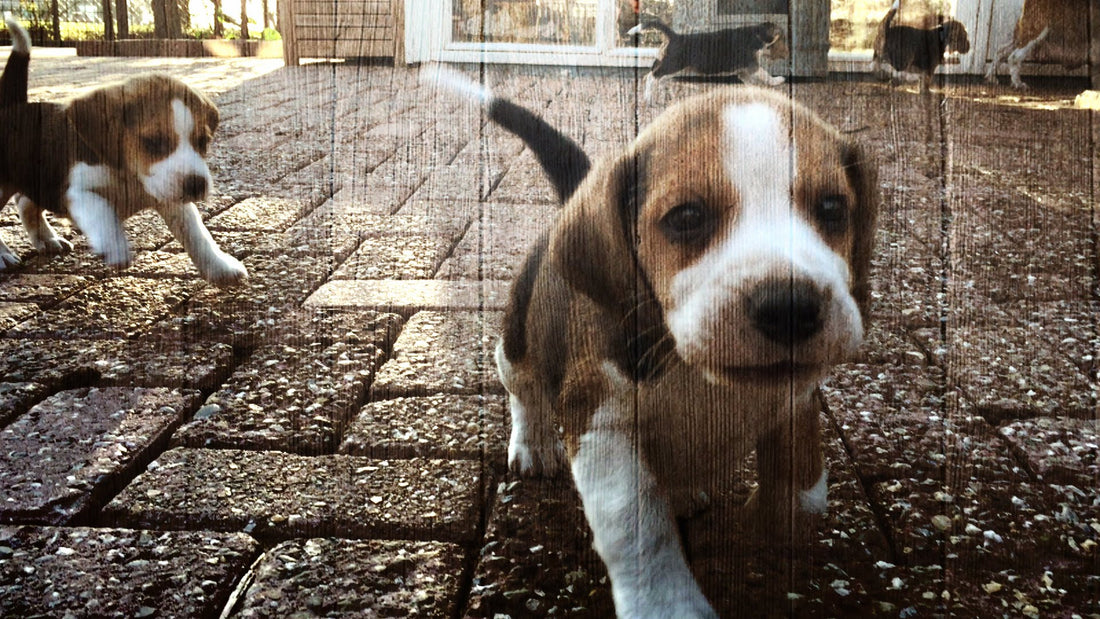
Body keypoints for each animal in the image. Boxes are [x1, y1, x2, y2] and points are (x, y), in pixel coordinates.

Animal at [0, 18, 245, 285]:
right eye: (153, 141)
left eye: (203, 141)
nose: (196, 184)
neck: (131, 178)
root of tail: (13, 106)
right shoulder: (77, 191)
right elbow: (102, 211)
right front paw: (115, 246)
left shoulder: (171, 198)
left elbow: (198, 235)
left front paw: (220, 267)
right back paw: (4, 255)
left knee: (25, 202)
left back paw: (47, 239)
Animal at [433, 70, 880, 615]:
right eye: (686, 217)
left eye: (833, 208)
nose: (791, 307)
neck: (693, 368)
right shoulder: (599, 423)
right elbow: (638, 530)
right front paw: (669, 606)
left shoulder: (797, 399)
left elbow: (804, 493)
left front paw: (764, 526)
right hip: (516, 342)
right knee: (523, 389)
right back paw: (534, 443)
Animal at [624, 18, 787, 101]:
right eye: (782, 37)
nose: (786, 52)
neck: (757, 35)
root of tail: (675, 36)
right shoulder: (752, 66)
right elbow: (766, 74)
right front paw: (777, 80)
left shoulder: (743, 71)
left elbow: (750, 82)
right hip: (672, 65)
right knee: (651, 77)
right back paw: (648, 98)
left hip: (672, 67)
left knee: (658, 78)